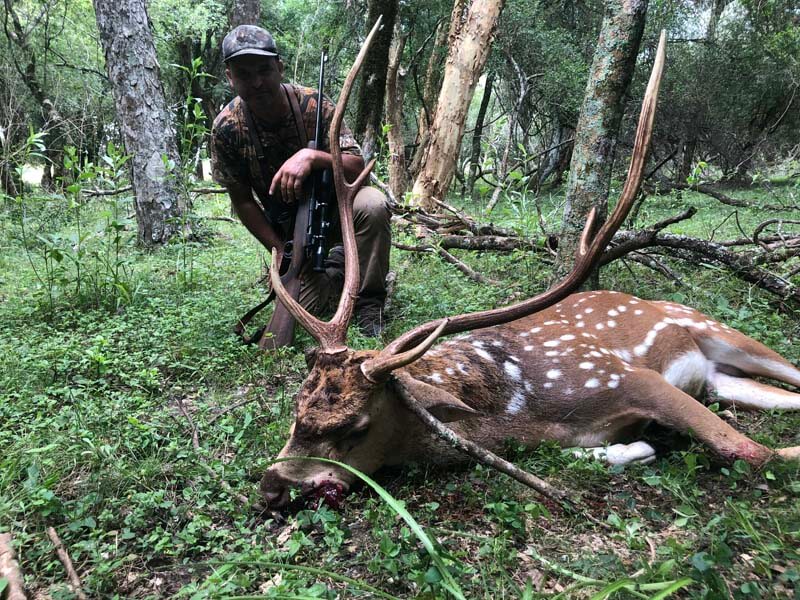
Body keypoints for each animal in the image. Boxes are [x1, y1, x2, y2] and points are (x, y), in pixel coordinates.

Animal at [259, 27, 800, 509]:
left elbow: (755, 451)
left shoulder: (625, 378)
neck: (517, 413)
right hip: (719, 379)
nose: (271, 486)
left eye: (356, 428)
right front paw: (634, 447)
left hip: (717, 329)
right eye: (296, 409)